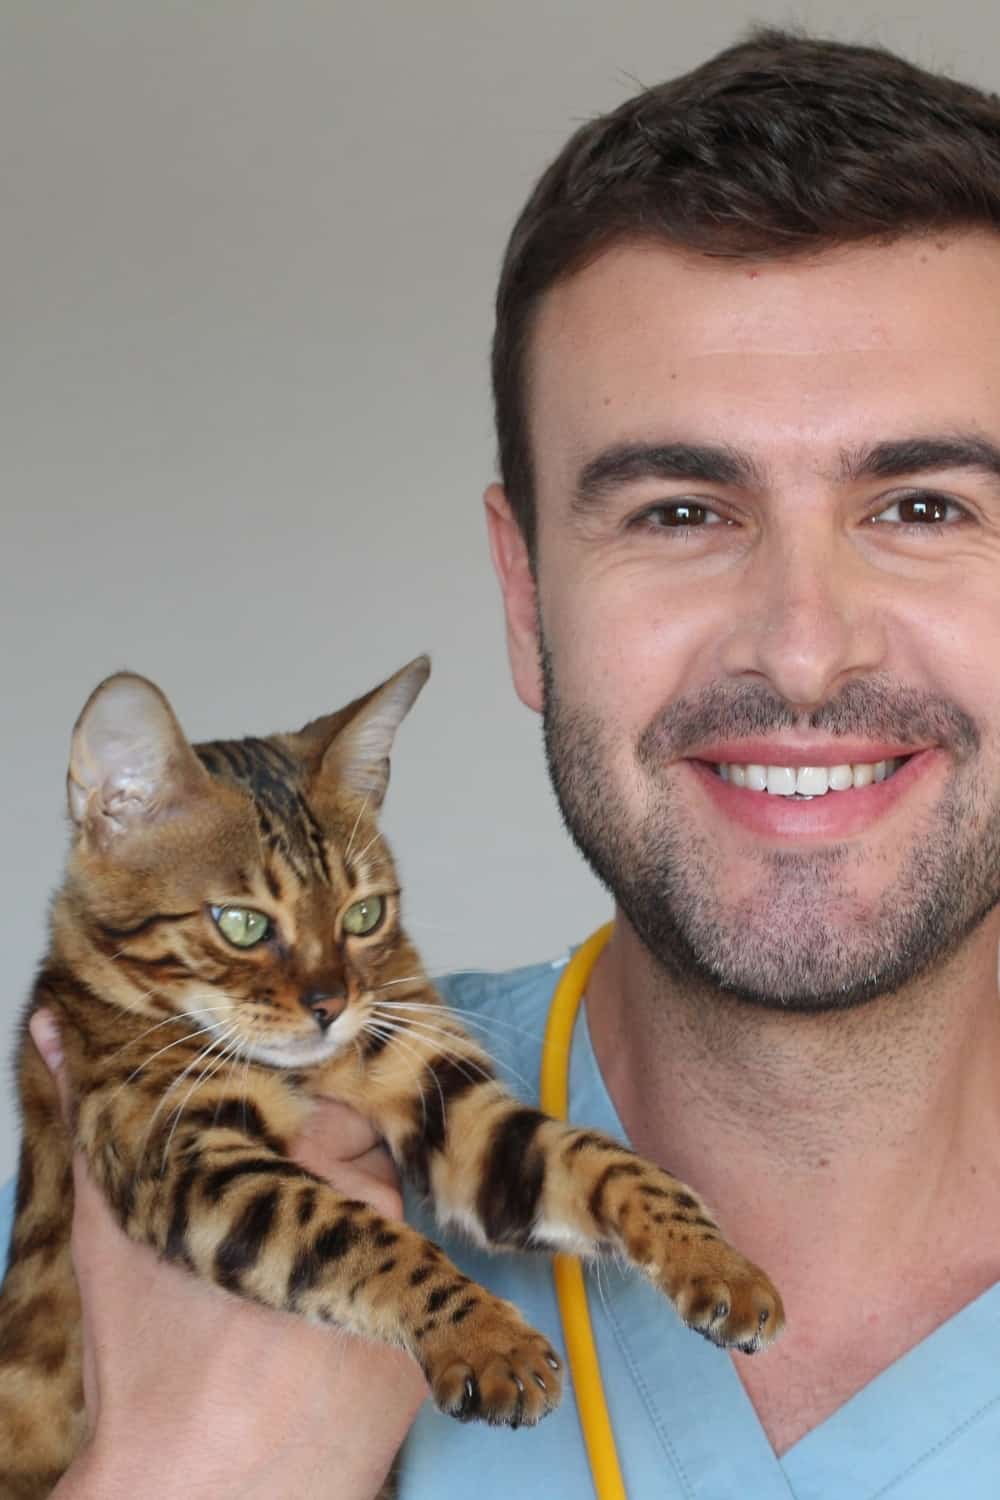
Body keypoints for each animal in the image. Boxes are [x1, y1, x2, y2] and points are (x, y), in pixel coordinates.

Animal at [0, 663, 779, 1500]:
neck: (316, 1069)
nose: (330, 1006)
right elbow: (347, 1229)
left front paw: (719, 1264)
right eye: (242, 924)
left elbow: (608, 1162)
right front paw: (489, 1339)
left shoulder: (447, 1102)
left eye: (364, 915)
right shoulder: (180, 1147)